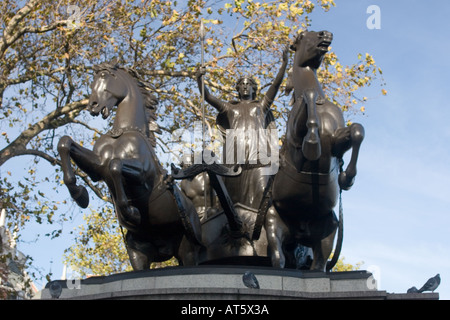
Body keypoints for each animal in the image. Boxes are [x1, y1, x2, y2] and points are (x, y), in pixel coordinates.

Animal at [58, 60, 202, 270]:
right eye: (93, 79)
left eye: (105, 76)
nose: (93, 105)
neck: (123, 132)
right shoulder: (97, 167)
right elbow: (65, 143)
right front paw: (80, 195)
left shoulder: (143, 173)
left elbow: (115, 165)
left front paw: (131, 213)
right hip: (138, 254)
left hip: (189, 250)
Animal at [268, 30, 366, 272]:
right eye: (303, 35)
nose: (326, 34)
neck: (322, 106)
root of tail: (299, 232)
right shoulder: (295, 145)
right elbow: (309, 103)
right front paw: (312, 142)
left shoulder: (337, 140)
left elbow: (357, 131)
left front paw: (346, 177)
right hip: (273, 224)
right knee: (278, 260)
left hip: (328, 233)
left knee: (319, 267)